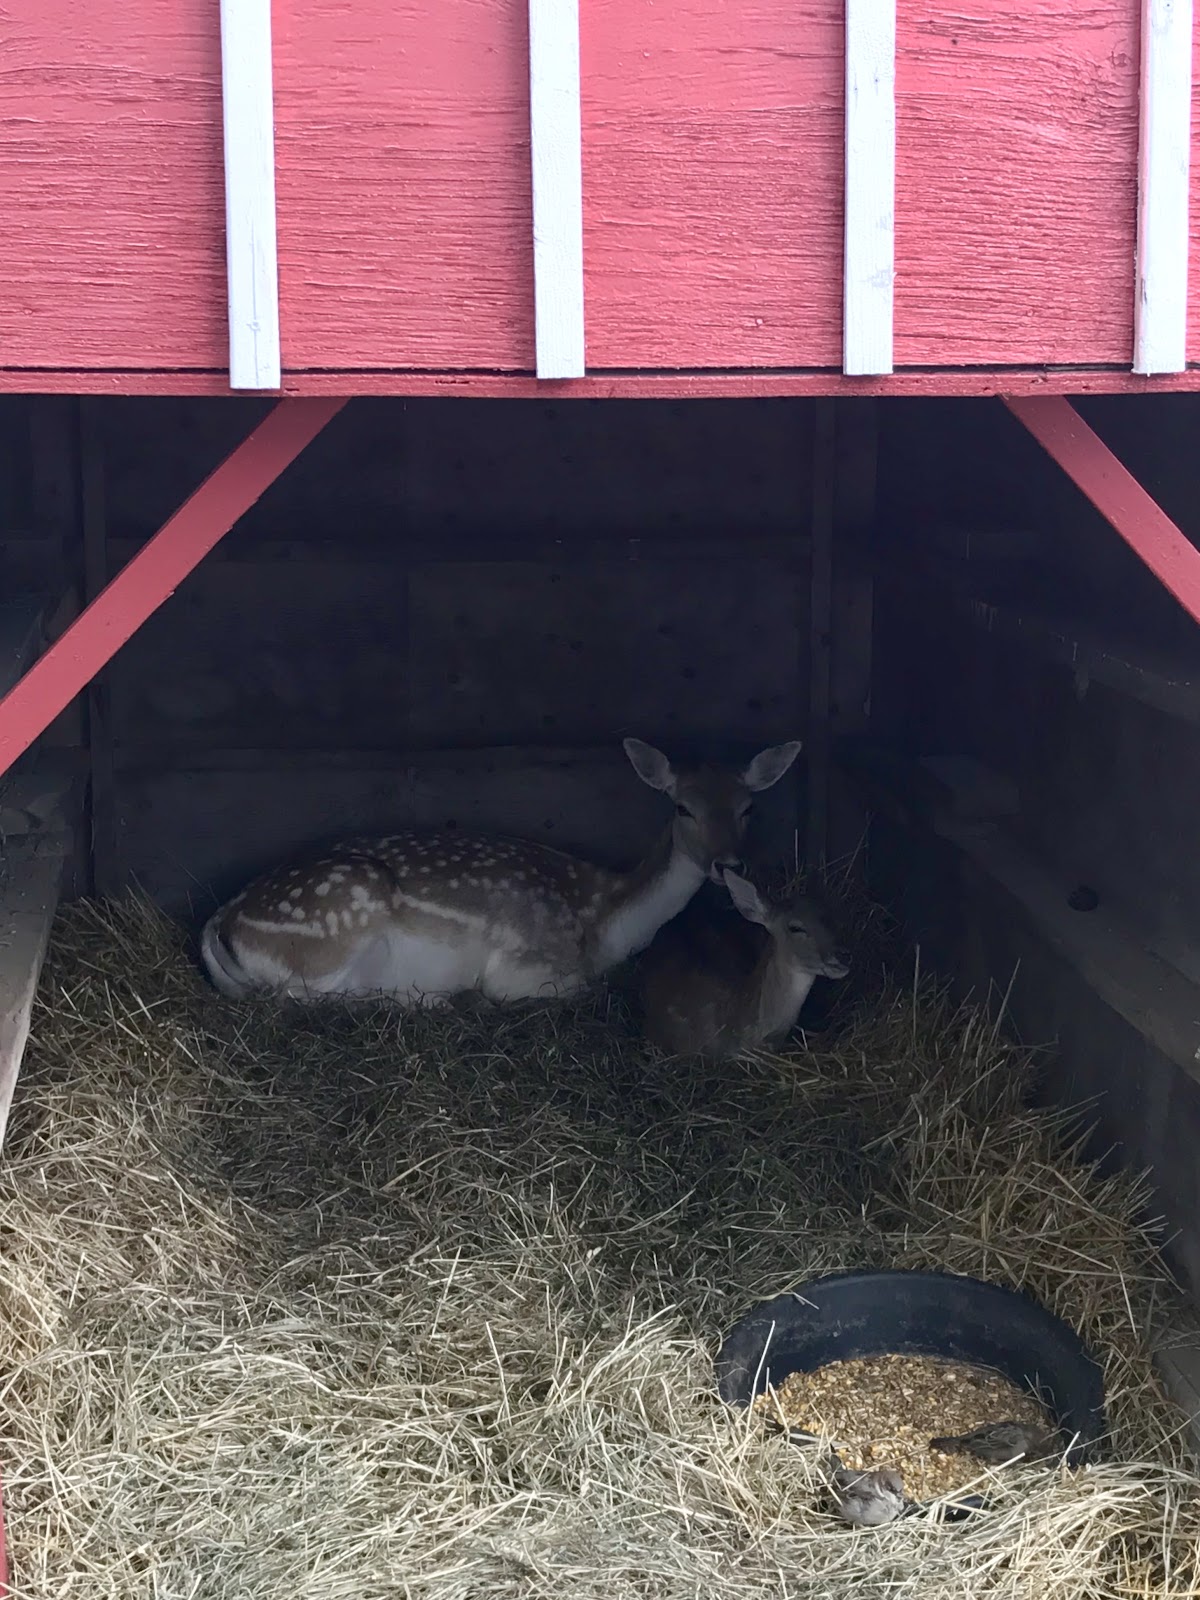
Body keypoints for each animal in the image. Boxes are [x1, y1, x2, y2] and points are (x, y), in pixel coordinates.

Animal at [202, 732, 803, 998]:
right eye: (683, 806)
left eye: (748, 806)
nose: (729, 863)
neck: (603, 920)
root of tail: (223, 919)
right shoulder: (522, 969)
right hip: (336, 925)